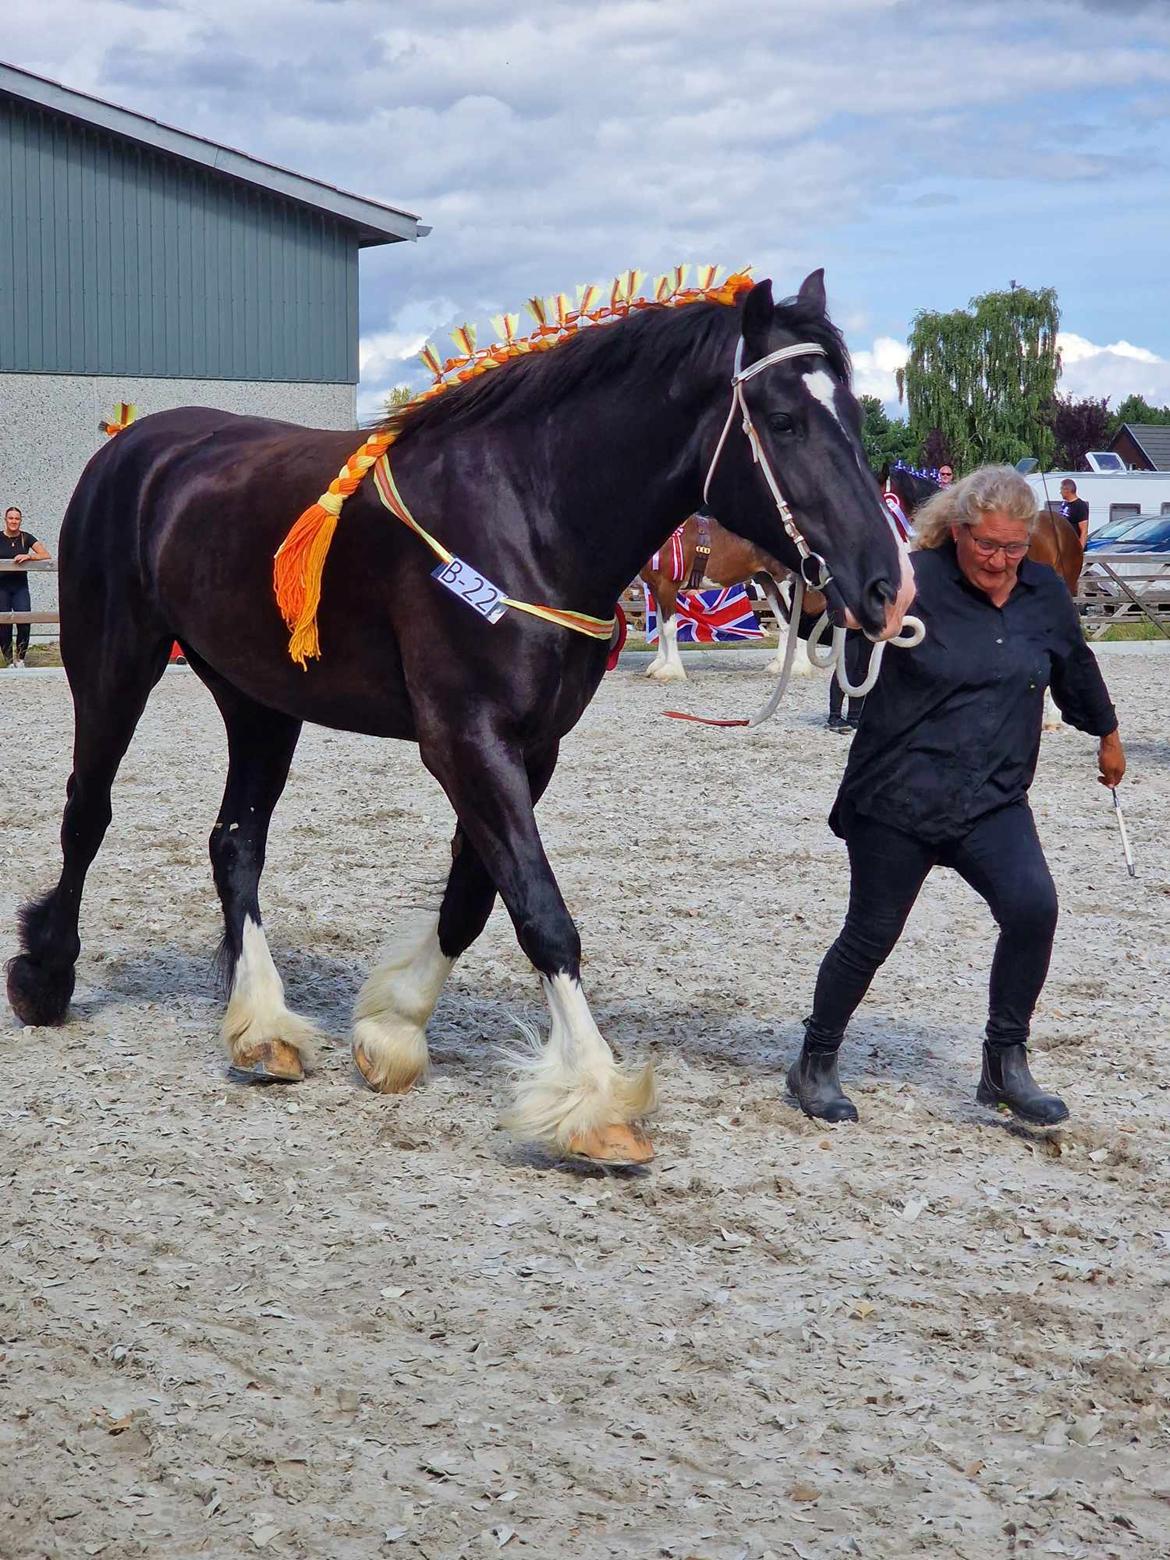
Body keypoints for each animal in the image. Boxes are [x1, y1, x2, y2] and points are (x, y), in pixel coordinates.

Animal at [6, 271, 917, 1173]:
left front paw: (394, 1029)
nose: (887, 586)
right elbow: (541, 910)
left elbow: (474, 898)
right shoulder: (465, 742)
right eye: (786, 421)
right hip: (114, 666)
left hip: (259, 700)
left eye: (856, 417)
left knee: (235, 843)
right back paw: (46, 977)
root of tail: (133, 445)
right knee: (89, 813)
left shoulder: (531, 747)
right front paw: (594, 1100)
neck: (528, 511)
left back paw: (260, 1023)